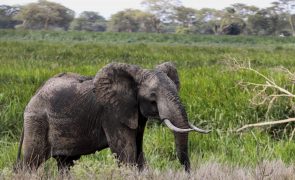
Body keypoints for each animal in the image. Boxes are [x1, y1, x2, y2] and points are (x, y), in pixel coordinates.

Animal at [15, 62, 210, 173]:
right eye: (153, 96)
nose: (188, 172)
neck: (131, 82)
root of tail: (34, 95)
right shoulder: (111, 114)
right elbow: (126, 152)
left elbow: (138, 153)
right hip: (37, 121)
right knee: (31, 161)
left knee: (65, 163)